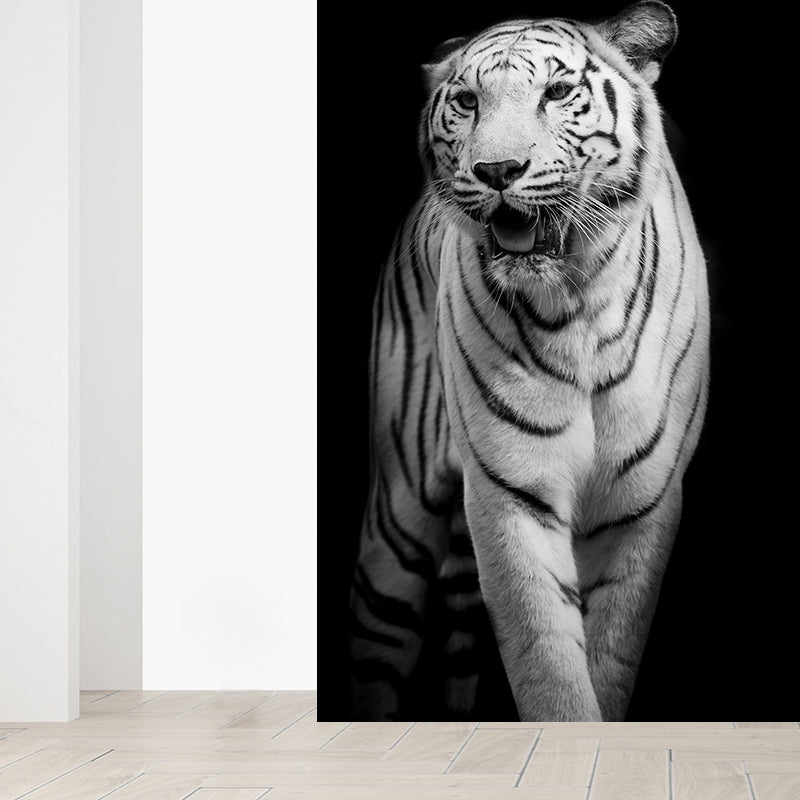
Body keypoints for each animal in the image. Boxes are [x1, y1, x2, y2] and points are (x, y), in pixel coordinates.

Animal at [348, 0, 709, 722]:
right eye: (467, 101)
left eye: (558, 92)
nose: (497, 170)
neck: (578, 301)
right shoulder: (511, 495)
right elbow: (548, 668)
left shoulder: (642, 506)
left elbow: (608, 659)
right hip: (397, 517)